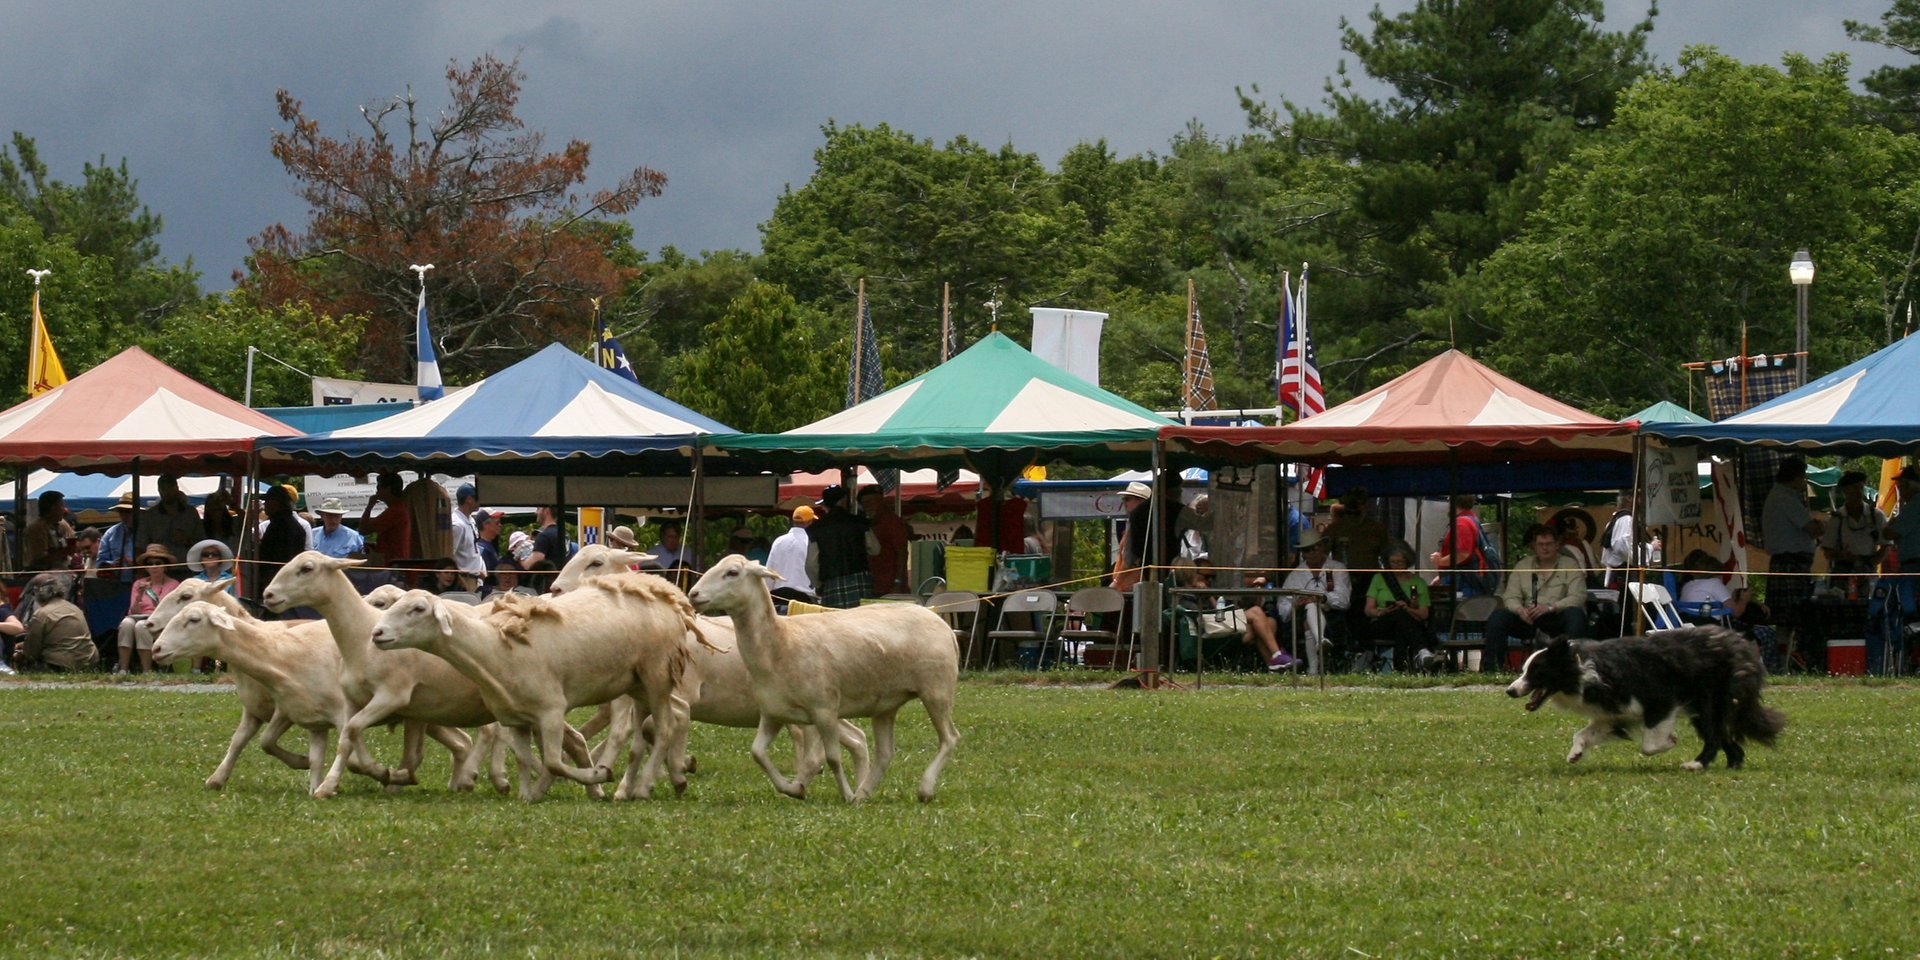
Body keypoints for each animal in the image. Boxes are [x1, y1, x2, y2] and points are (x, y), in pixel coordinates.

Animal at [370, 576, 710, 802]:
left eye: (417, 609)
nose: (377, 633)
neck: (494, 649)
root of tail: (667, 594)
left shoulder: (551, 711)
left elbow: (554, 762)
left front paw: (598, 775)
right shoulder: (517, 718)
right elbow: (524, 759)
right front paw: (526, 794)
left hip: (657, 676)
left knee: (665, 728)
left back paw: (642, 787)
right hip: (637, 683)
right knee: (652, 731)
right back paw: (653, 782)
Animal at [687, 556, 960, 802]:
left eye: (732, 572)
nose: (693, 594)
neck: (780, 643)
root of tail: (943, 625)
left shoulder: (824, 710)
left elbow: (832, 758)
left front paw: (844, 794)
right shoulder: (774, 713)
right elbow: (757, 753)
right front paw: (793, 788)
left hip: (936, 690)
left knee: (949, 738)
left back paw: (923, 789)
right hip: (886, 704)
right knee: (885, 753)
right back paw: (863, 794)